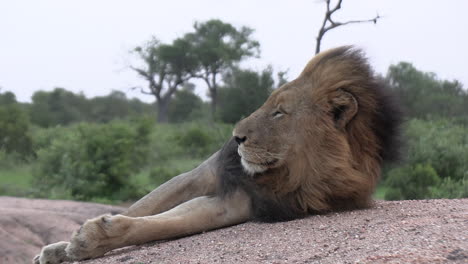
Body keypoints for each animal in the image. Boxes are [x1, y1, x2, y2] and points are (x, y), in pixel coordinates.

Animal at [33, 46, 402, 262]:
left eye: (279, 113)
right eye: (268, 104)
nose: (236, 137)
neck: (292, 172)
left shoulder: (241, 204)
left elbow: (161, 224)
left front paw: (89, 239)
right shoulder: (205, 172)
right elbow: (141, 208)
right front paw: (63, 246)